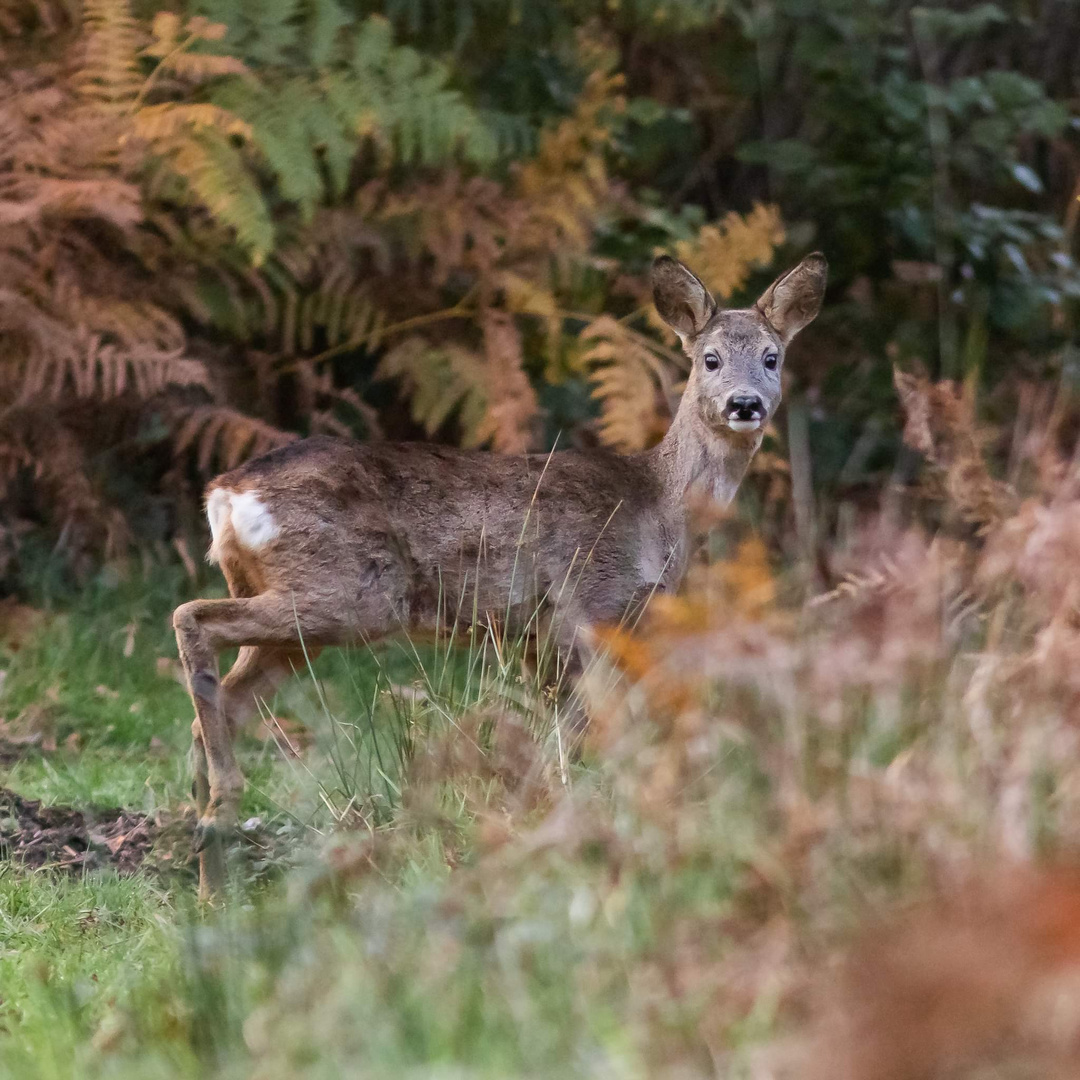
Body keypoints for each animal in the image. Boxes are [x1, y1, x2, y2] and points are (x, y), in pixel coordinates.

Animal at [172, 250, 825, 894]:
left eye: (772, 357)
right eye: (710, 359)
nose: (746, 404)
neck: (659, 508)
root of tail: (225, 493)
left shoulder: (543, 638)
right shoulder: (586, 609)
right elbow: (576, 742)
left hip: (295, 616)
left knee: (221, 703)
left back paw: (207, 870)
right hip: (343, 594)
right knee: (191, 615)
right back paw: (219, 814)